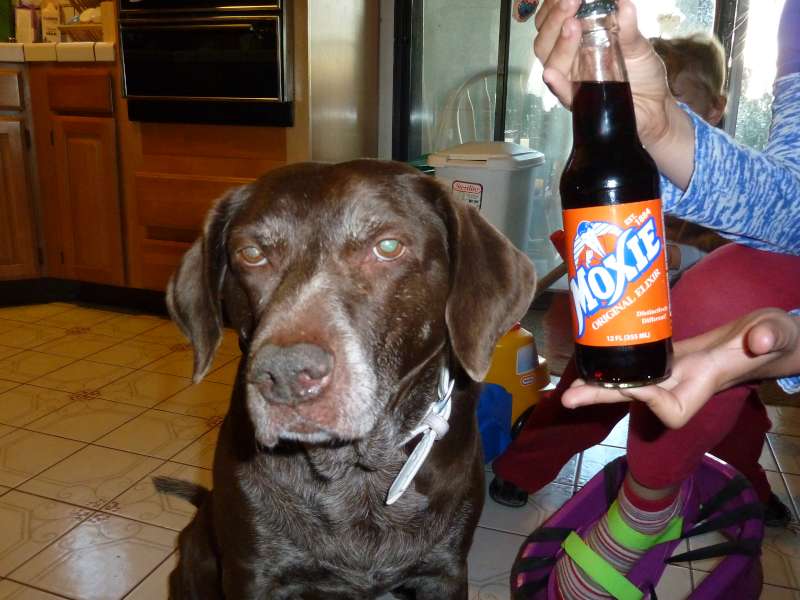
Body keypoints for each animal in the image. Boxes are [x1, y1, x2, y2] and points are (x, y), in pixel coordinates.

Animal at [156, 160, 537, 599]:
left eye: (388, 247)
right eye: (251, 254)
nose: (285, 374)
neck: (356, 472)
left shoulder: (445, 572)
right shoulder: (253, 573)